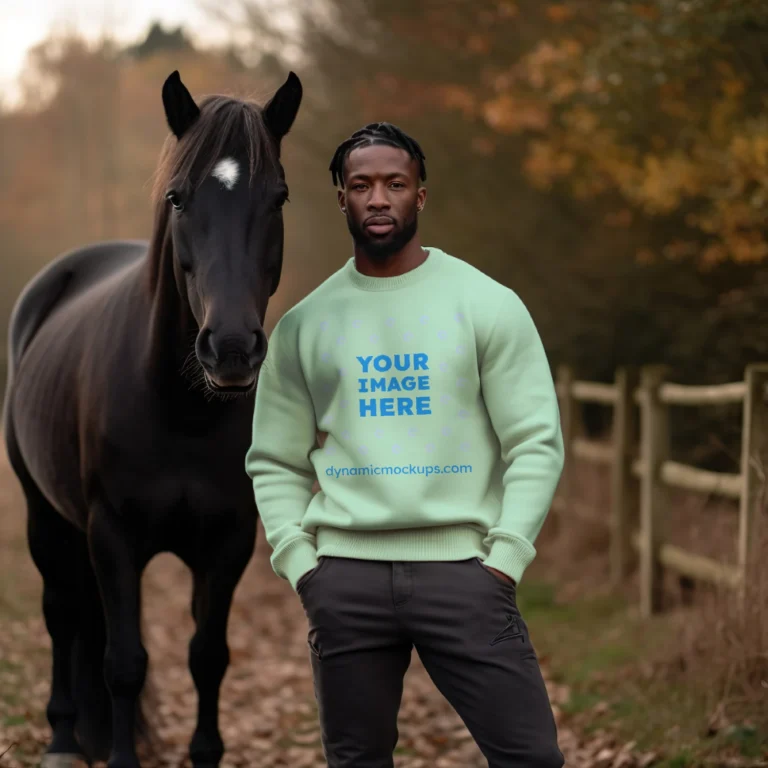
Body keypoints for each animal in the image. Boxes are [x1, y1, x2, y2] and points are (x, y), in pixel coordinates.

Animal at [3, 69, 304, 764]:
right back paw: (63, 738)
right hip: (44, 517)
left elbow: (208, 657)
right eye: (177, 197)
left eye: (278, 198)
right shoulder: (112, 537)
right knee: (62, 613)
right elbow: (124, 663)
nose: (231, 348)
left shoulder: (228, 543)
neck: (179, 410)